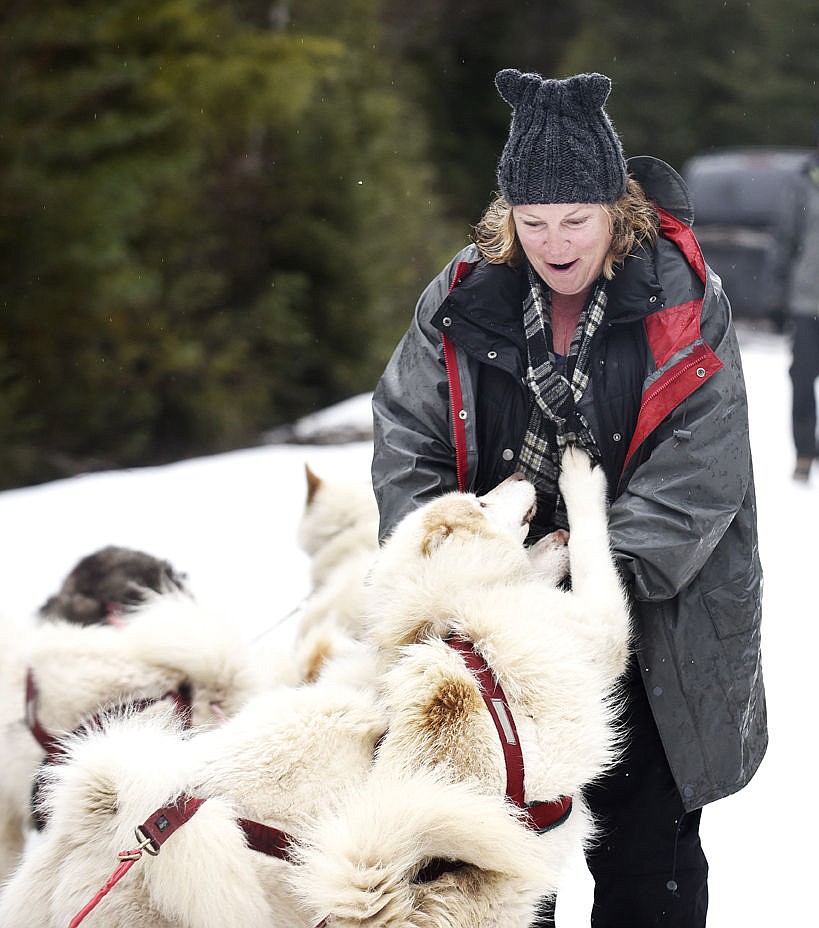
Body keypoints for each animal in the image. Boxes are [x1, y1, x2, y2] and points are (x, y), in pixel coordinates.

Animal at [294, 446, 636, 924]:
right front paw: (580, 479)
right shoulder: (603, 627)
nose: (519, 472)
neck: (455, 608)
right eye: (481, 504)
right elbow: (592, 546)